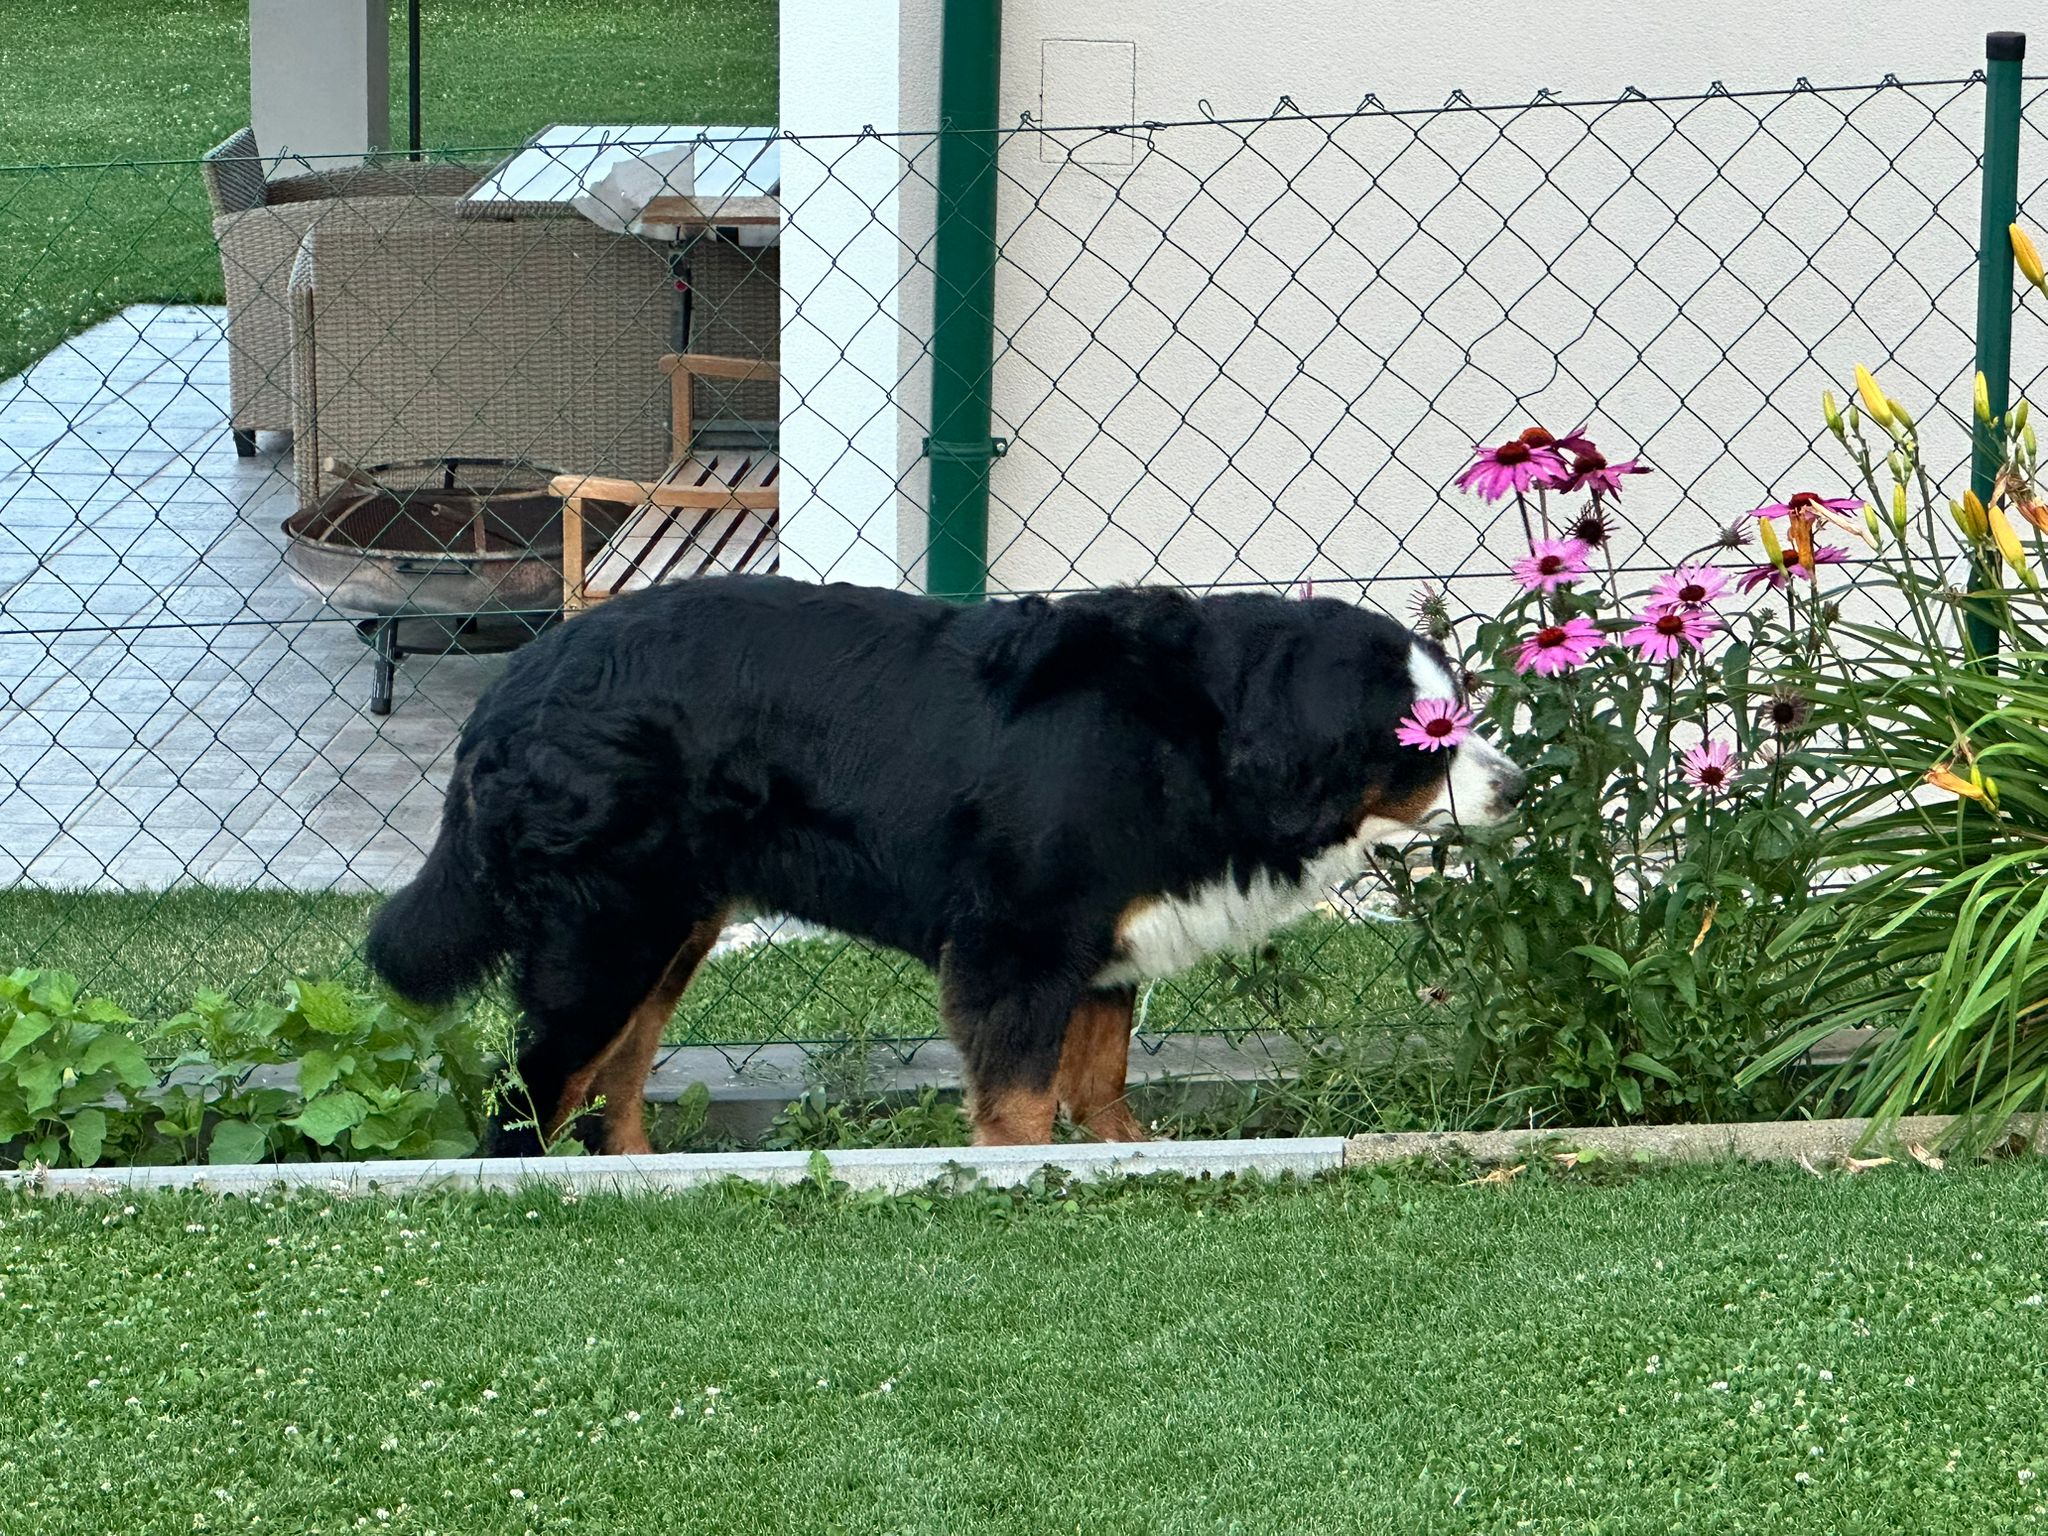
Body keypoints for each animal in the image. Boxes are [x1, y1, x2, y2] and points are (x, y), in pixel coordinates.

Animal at [366, 574, 1525, 1153]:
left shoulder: (1100, 951)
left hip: (669, 928)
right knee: (535, 1094)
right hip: (605, 935)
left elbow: (1097, 1085)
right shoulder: (1018, 944)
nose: (1516, 787)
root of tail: (524, 672)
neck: (1193, 730)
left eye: (1462, 711)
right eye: (1424, 734)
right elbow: (1018, 1105)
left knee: (619, 1076)